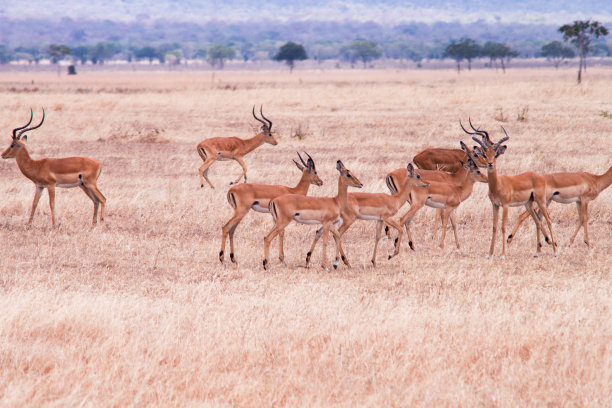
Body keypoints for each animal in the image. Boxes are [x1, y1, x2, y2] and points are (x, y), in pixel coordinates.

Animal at [462, 122, 556, 260]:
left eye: (495, 154)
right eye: (485, 154)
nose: (490, 164)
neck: (498, 185)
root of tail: (539, 176)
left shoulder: (505, 205)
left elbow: (503, 227)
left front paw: (502, 255)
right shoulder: (495, 205)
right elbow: (494, 227)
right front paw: (490, 254)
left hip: (541, 202)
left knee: (548, 220)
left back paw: (555, 251)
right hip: (529, 204)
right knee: (538, 221)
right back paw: (537, 252)